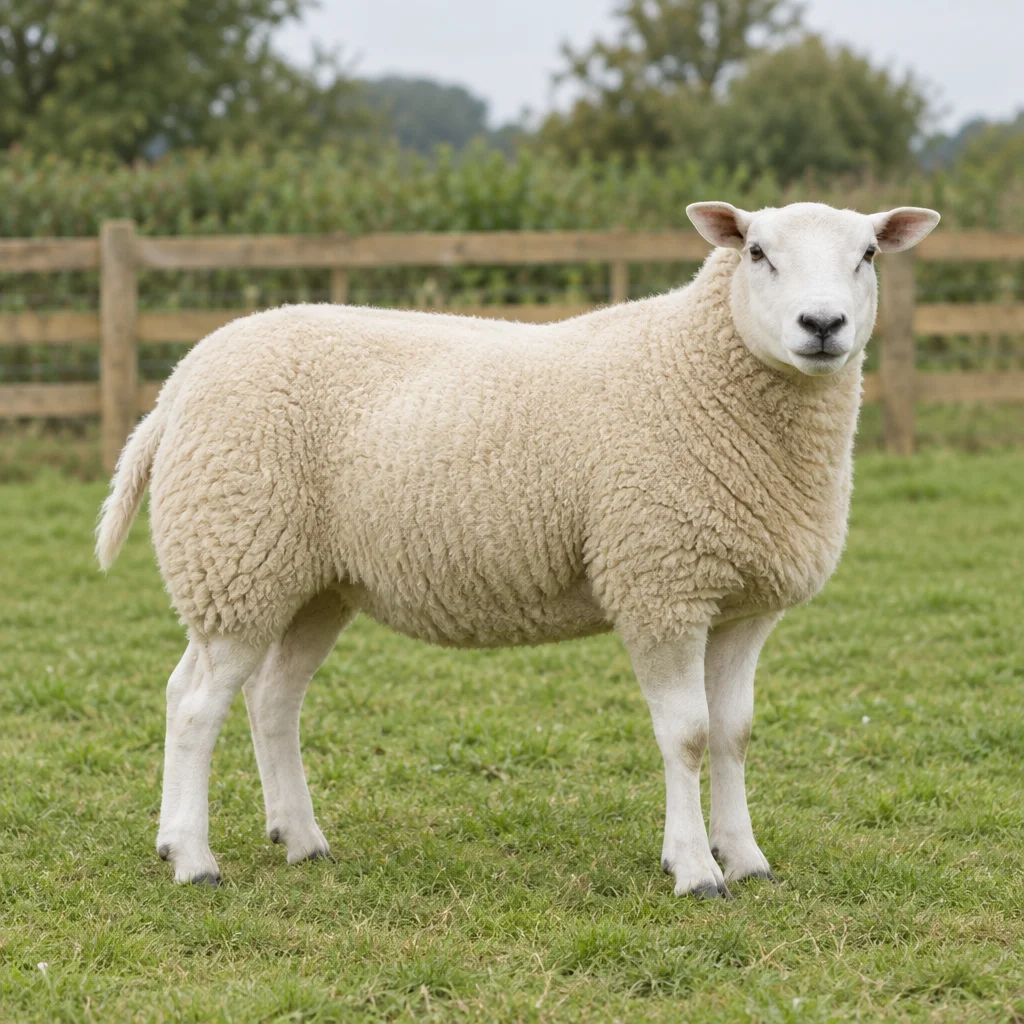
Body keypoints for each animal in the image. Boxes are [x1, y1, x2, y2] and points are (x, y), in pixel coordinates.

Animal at [96, 201, 940, 895]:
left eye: (868, 253)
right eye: (758, 252)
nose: (822, 325)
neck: (700, 366)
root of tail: (178, 381)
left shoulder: (741, 603)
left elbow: (733, 735)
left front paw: (747, 859)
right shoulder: (658, 580)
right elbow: (689, 735)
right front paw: (696, 870)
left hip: (309, 581)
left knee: (267, 697)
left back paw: (298, 839)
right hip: (236, 553)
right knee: (195, 704)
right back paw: (193, 859)